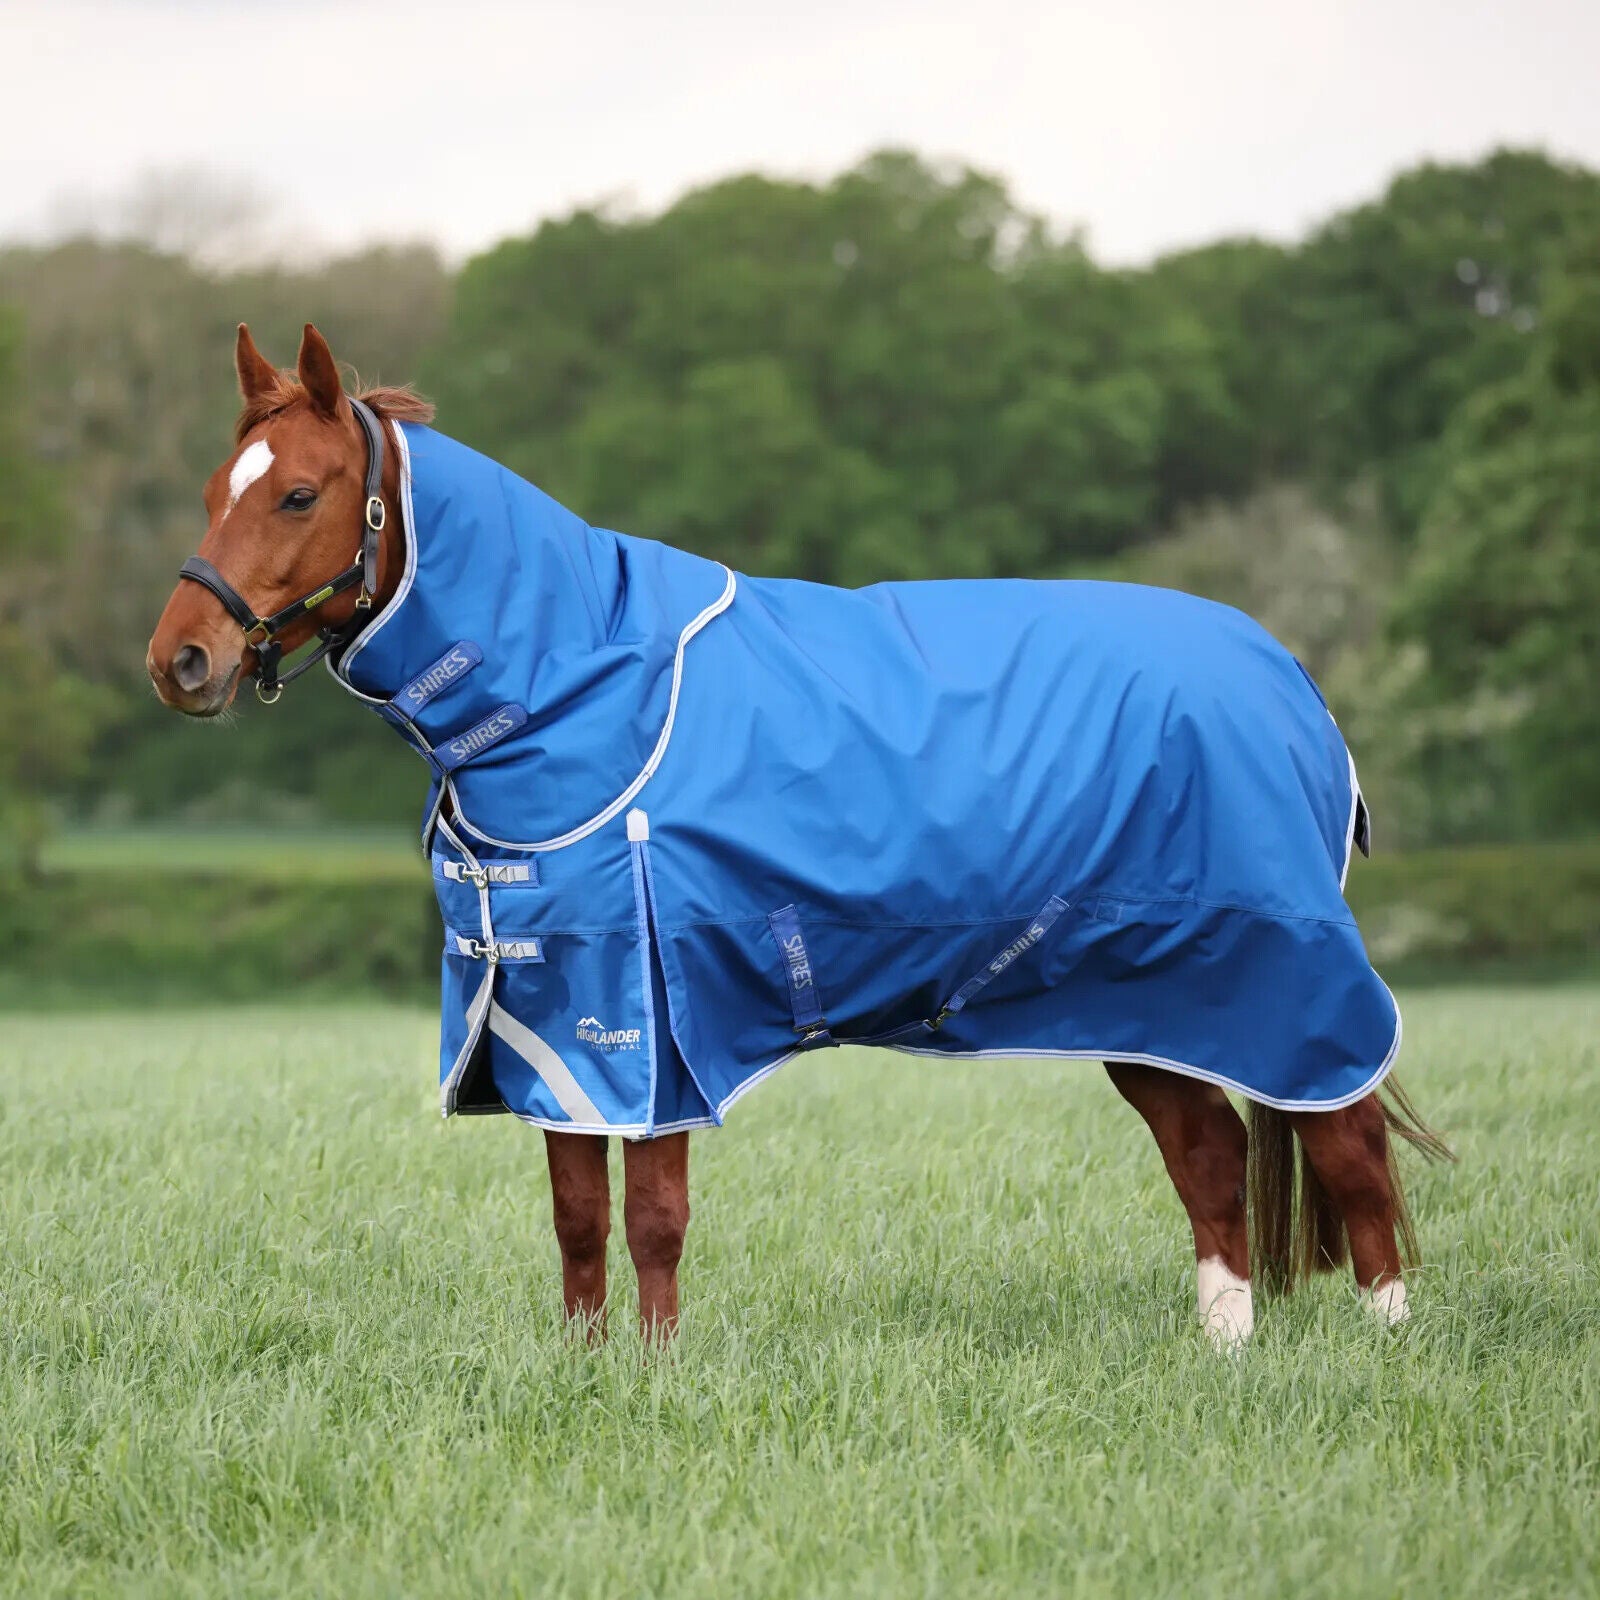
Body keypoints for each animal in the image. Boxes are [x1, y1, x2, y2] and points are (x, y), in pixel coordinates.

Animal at [147, 323, 1450, 1347]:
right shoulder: (547, 1011)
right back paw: (1226, 1346)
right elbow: (576, 1218)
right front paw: (584, 1367)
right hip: (1143, 993)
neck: (578, 686)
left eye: (299, 493)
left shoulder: (652, 1014)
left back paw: (1388, 1342)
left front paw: (654, 1372)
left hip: (1280, 972)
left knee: (1348, 1145)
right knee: (1210, 1156)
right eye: (212, 489)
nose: (182, 662)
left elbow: (652, 1216)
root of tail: (1289, 678)